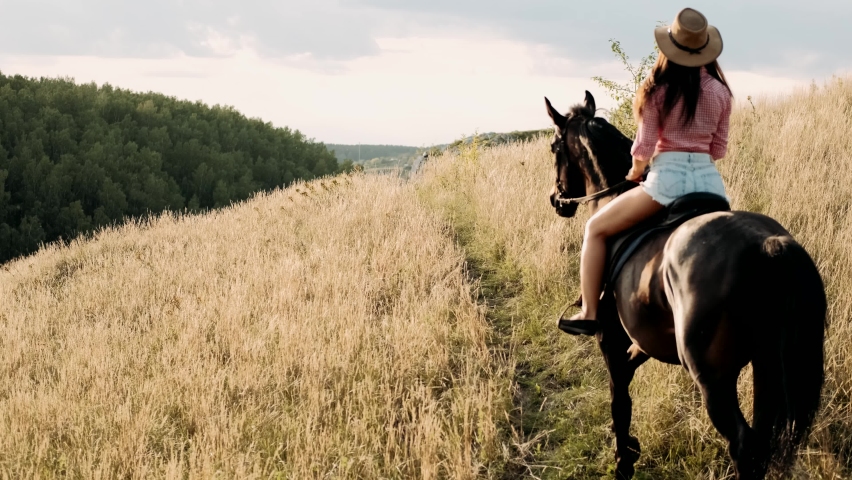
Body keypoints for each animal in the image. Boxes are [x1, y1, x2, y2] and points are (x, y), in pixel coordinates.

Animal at [544, 91, 824, 480]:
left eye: (554, 146)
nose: (557, 201)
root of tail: (769, 247)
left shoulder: (610, 340)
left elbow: (619, 398)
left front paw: (623, 461)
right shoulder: (643, 339)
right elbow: (626, 381)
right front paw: (630, 449)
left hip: (714, 379)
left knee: (744, 445)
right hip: (767, 364)